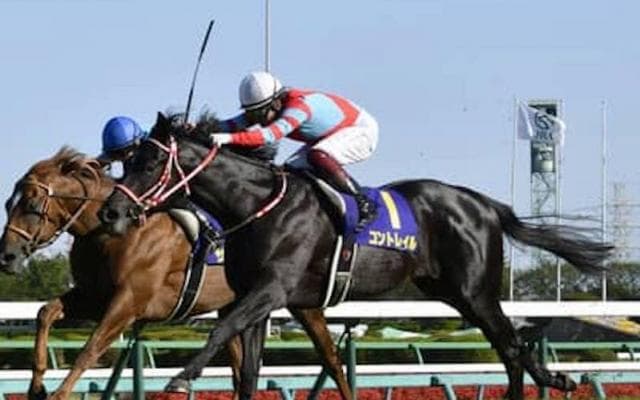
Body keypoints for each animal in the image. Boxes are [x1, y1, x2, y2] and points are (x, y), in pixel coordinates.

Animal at [0, 148, 352, 400]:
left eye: (31, 204)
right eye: (8, 203)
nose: (7, 255)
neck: (110, 231)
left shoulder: (128, 302)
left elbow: (91, 349)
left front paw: (57, 394)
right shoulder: (94, 296)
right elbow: (46, 312)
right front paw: (36, 387)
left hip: (300, 302)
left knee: (331, 359)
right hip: (236, 305)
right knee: (241, 370)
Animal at [99, 112, 613, 400]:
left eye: (150, 162)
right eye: (127, 160)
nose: (112, 211)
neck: (256, 205)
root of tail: (485, 204)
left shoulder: (272, 289)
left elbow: (220, 331)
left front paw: (180, 379)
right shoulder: (258, 299)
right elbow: (247, 371)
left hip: (476, 290)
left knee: (510, 346)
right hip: (451, 291)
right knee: (510, 347)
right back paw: (555, 380)